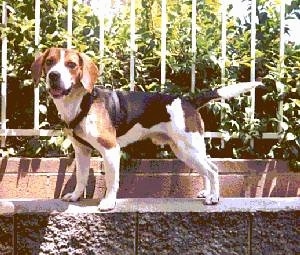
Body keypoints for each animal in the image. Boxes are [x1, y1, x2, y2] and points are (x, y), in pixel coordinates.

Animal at [31, 47, 262, 211]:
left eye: (71, 64)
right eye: (50, 62)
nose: (53, 75)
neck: (80, 102)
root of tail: (188, 100)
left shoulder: (110, 149)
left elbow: (111, 181)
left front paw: (109, 203)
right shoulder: (81, 151)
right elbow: (81, 177)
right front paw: (76, 196)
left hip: (189, 147)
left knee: (212, 170)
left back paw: (214, 197)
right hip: (183, 151)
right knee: (204, 171)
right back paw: (206, 192)